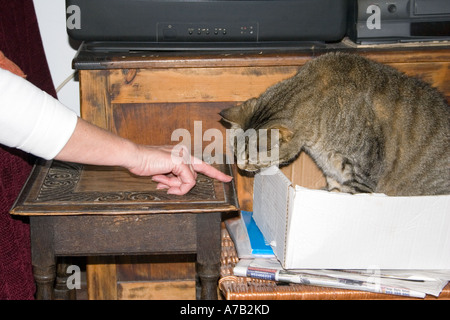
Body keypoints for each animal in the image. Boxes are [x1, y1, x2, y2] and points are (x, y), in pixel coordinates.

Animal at [221, 51, 450, 196]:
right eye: (235, 151)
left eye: (252, 158)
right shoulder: (332, 170)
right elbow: (333, 189)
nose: (239, 166)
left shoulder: (362, 175)